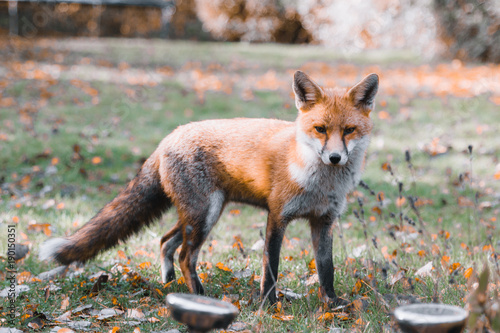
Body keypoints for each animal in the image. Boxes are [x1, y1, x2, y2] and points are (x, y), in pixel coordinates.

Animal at [41, 70, 376, 304]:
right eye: (320, 129)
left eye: (349, 130)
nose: (335, 158)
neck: (319, 182)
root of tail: (169, 136)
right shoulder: (277, 216)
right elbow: (271, 267)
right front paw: (268, 306)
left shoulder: (324, 221)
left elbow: (326, 269)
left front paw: (332, 304)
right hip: (206, 214)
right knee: (185, 256)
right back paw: (199, 296)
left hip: (199, 214)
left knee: (165, 242)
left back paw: (169, 283)